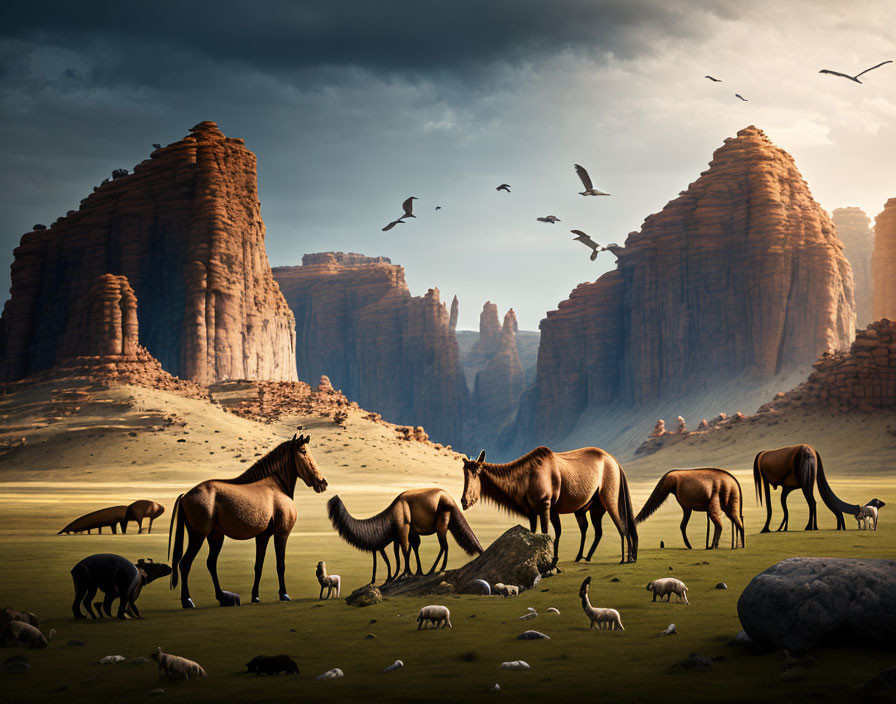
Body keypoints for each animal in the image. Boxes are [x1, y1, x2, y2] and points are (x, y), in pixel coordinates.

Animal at [167, 432, 326, 608]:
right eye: (303, 451)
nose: (322, 482)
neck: (276, 485)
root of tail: (184, 496)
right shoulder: (281, 534)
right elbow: (280, 565)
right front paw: (284, 594)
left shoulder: (262, 536)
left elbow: (258, 566)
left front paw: (255, 596)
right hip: (198, 536)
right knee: (185, 564)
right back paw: (188, 601)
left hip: (215, 536)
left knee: (211, 563)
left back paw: (222, 597)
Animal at [328, 486, 484, 580]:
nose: (332, 500)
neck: (388, 517)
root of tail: (451, 500)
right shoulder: (407, 532)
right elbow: (410, 548)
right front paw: (414, 572)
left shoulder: (403, 527)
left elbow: (405, 550)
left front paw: (406, 573)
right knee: (443, 545)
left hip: (442, 519)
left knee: (444, 545)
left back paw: (436, 569)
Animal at [462, 446, 636, 568]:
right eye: (464, 473)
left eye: (476, 472)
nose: (464, 501)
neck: (524, 481)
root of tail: (616, 463)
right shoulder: (534, 513)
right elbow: (544, 533)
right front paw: (552, 561)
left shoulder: (545, 506)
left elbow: (546, 533)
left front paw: (548, 564)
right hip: (591, 508)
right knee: (594, 529)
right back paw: (584, 556)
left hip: (609, 499)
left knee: (623, 526)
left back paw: (625, 559)